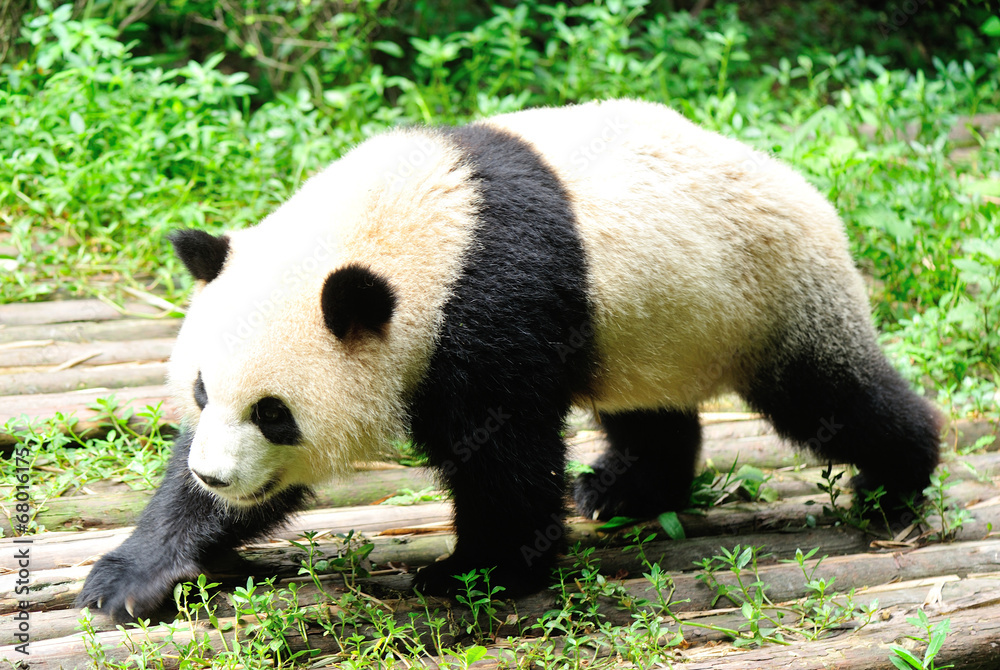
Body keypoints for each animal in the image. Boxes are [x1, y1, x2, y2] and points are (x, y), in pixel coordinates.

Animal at [77, 98, 941, 622]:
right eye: (201, 391)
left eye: (274, 413)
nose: (217, 475)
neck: (417, 231)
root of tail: (801, 185)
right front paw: (131, 575)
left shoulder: (492, 301)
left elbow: (505, 454)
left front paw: (476, 571)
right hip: (652, 321)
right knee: (650, 410)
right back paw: (623, 489)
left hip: (764, 289)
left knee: (830, 398)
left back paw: (896, 481)